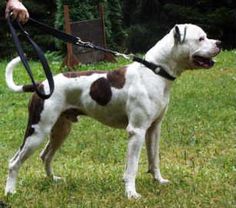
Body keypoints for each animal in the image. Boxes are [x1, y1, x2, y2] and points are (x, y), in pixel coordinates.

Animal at [4, 24, 221, 198]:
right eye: (201, 38)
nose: (219, 42)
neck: (154, 71)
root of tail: (40, 85)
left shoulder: (153, 129)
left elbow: (154, 159)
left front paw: (158, 181)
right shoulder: (136, 131)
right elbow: (132, 168)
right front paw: (131, 193)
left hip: (60, 130)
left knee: (46, 155)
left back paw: (53, 180)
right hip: (37, 131)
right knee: (14, 162)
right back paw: (10, 191)